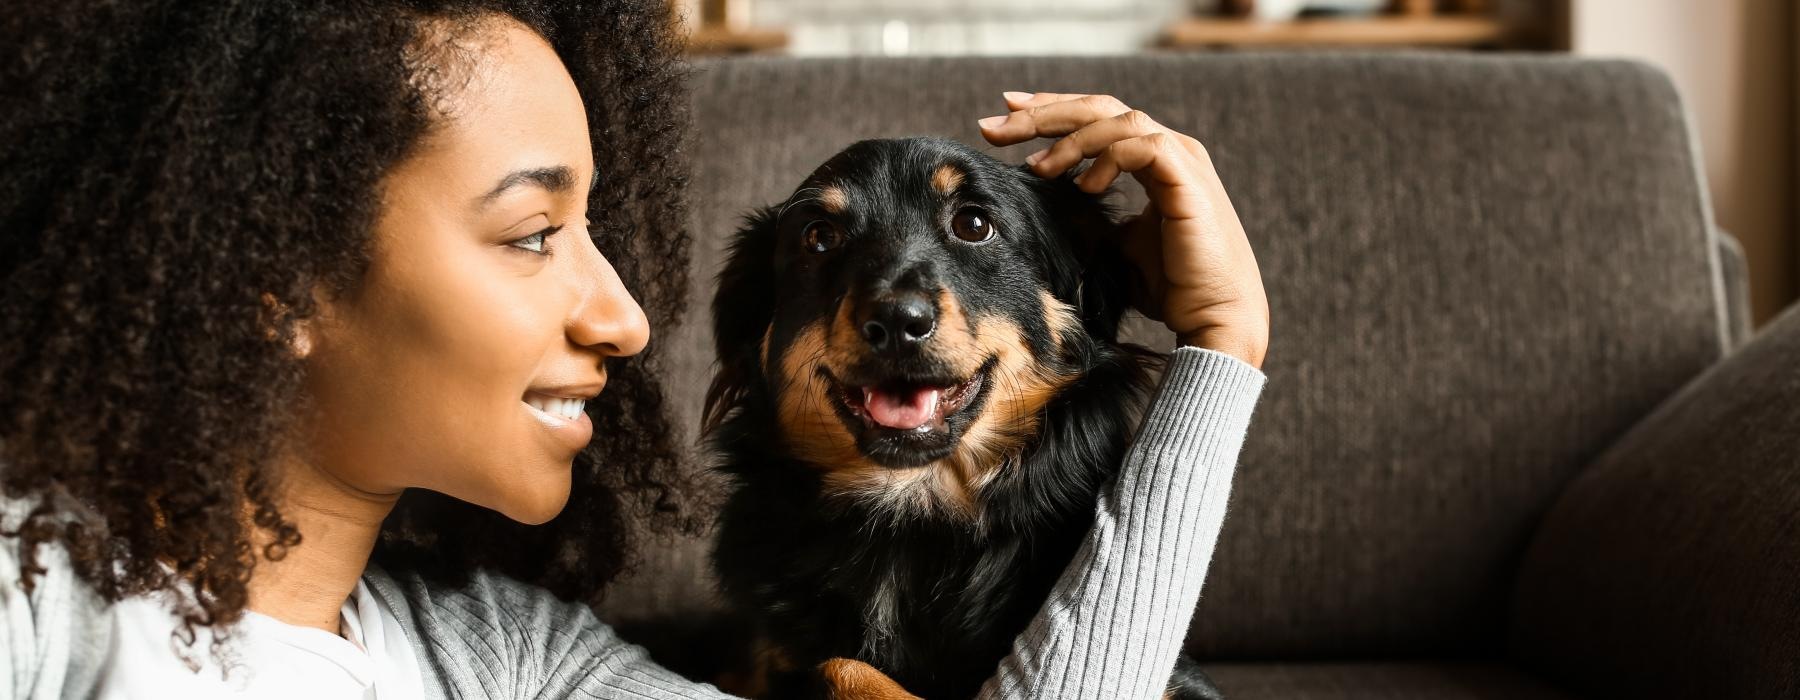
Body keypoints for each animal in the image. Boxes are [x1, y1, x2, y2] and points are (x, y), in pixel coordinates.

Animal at [702, 136, 1224, 698]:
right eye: (819, 237)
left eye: (973, 224)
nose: (896, 321)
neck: (912, 514)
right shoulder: (760, 660)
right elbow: (837, 665)